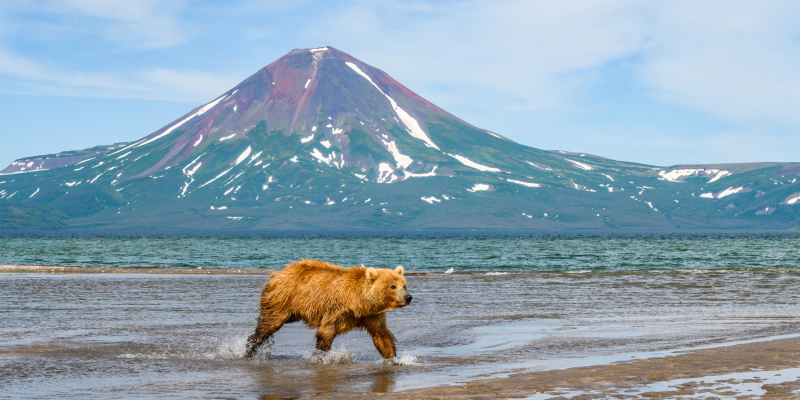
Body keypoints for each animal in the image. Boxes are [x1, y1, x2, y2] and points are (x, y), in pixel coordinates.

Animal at [245, 260, 412, 360]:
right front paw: (321, 356)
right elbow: (326, 331)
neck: (359, 302)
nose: (408, 297)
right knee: (269, 323)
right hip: (283, 299)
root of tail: (278, 273)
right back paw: (251, 348)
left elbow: (381, 334)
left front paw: (394, 358)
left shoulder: (372, 315)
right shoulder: (337, 310)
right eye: (392, 286)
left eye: (404, 285)